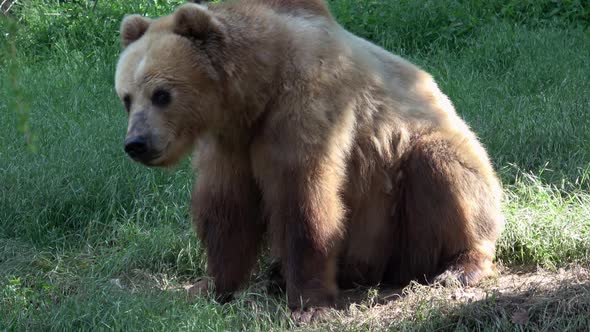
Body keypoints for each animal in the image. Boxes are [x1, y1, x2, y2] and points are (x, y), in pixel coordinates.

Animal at [114, 0, 504, 320]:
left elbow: (303, 199)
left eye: (161, 94)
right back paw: (275, 274)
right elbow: (228, 208)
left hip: (413, 204)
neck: (258, 88)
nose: (136, 143)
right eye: (126, 97)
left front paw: (309, 304)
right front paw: (209, 286)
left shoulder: (307, 106)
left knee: (441, 170)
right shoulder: (230, 140)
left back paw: (460, 266)